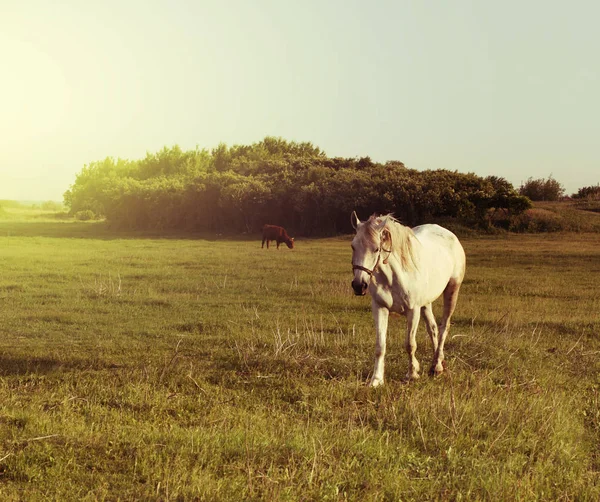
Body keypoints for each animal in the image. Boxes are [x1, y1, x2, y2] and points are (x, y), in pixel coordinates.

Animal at [350, 210, 466, 386]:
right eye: (353, 246)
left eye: (376, 249)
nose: (359, 285)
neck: (393, 276)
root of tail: (449, 234)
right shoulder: (380, 308)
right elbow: (380, 346)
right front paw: (376, 380)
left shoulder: (413, 310)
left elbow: (410, 344)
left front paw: (412, 374)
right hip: (426, 302)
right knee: (433, 329)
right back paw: (437, 364)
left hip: (452, 290)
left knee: (443, 328)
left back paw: (437, 366)